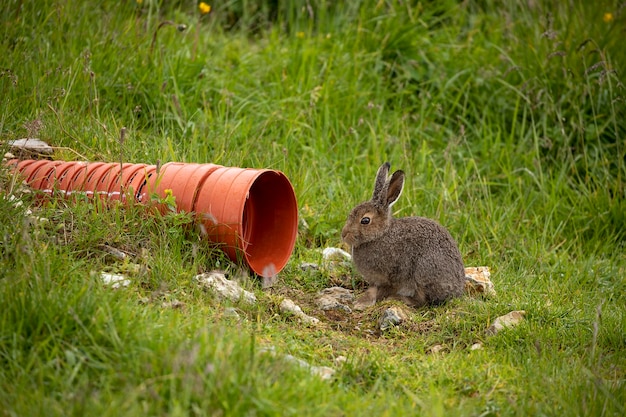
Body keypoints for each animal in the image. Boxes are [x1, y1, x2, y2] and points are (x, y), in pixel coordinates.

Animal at [342, 162, 464, 308]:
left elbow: (382, 290)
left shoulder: (393, 276)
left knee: (423, 300)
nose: (343, 234)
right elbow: (373, 289)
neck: (380, 235)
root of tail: (457, 290)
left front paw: (364, 303)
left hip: (423, 272)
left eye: (365, 220)